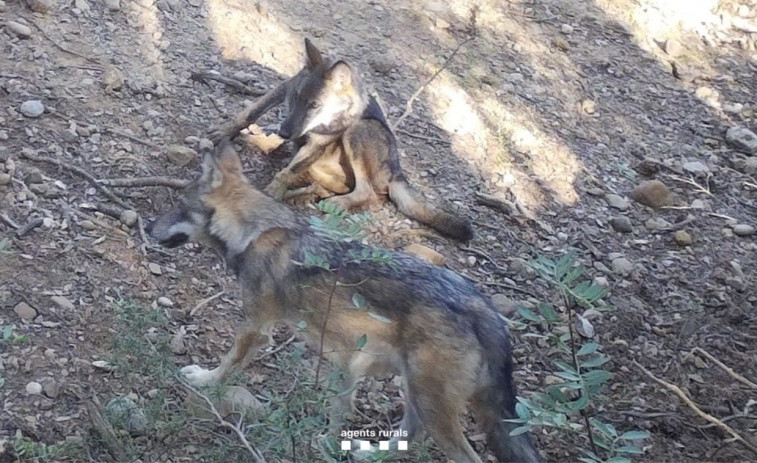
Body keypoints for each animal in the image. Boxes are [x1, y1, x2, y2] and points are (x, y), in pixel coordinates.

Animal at [146, 142, 539, 463]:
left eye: (179, 207)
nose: (148, 227)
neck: (254, 232)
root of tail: (483, 307)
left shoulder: (256, 328)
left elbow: (227, 365)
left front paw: (204, 380)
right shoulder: (342, 363)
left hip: (431, 405)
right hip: (414, 394)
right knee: (407, 436)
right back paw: (367, 454)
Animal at [208, 38, 473, 241]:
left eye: (315, 105)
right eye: (295, 98)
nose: (284, 133)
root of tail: (397, 171)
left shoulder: (319, 142)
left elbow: (286, 172)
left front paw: (273, 192)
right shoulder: (283, 88)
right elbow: (250, 112)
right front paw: (224, 132)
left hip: (358, 131)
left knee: (369, 194)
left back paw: (332, 202)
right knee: (332, 186)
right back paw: (303, 193)